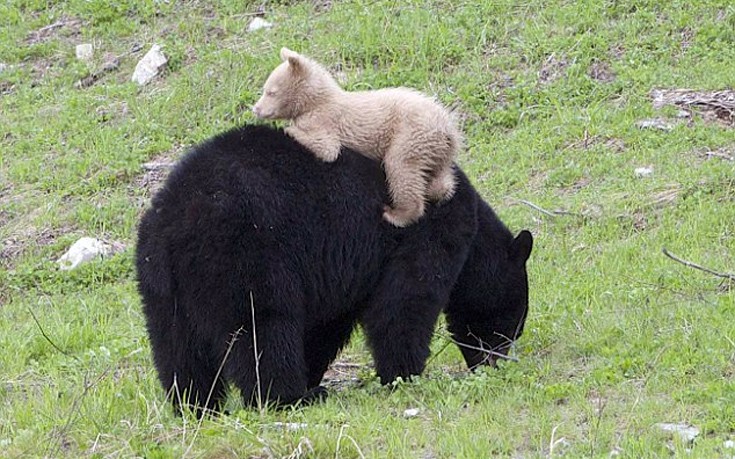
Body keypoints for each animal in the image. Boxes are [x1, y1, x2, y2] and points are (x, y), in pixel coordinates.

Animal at [135, 124, 532, 416]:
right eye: (514, 321)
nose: (496, 362)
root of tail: (177, 223)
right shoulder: (425, 235)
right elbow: (404, 304)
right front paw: (405, 375)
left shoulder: (341, 275)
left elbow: (326, 326)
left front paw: (315, 371)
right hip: (245, 258)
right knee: (263, 329)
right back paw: (289, 399)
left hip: (160, 285)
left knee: (177, 347)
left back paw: (196, 407)